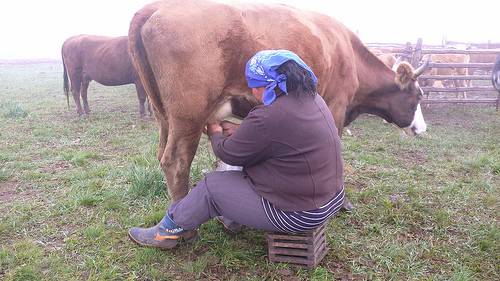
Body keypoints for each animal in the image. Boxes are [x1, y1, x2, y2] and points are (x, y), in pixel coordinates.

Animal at [129, 0, 430, 208]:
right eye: (418, 95)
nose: (423, 129)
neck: (348, 53)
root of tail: (159, 6)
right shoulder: (336, 106)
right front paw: (340, 201)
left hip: (164, 115)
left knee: (162, 153)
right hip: (188, 115)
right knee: (176, 160)